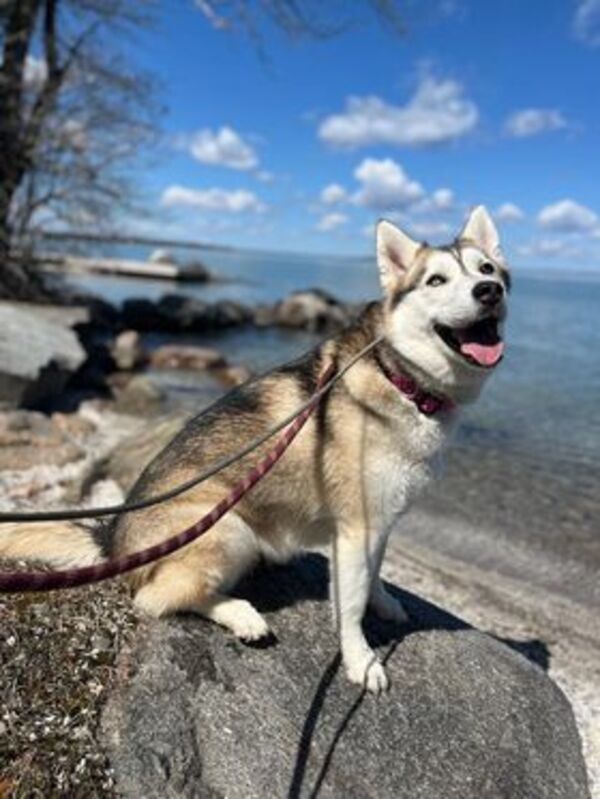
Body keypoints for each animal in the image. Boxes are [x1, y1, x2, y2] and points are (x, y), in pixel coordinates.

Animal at [0, 208, 508, 692]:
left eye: (487, 268)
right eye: (436, 280)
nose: (489, 291)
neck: (399, 376)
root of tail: (113, 540)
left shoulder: (379, 521)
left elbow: (375, 576)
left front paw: (383, 604)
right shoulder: (356, 527)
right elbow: (350, 605)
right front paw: (360, 661)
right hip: (230, 530)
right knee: (155, 598)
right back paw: (241, 614)